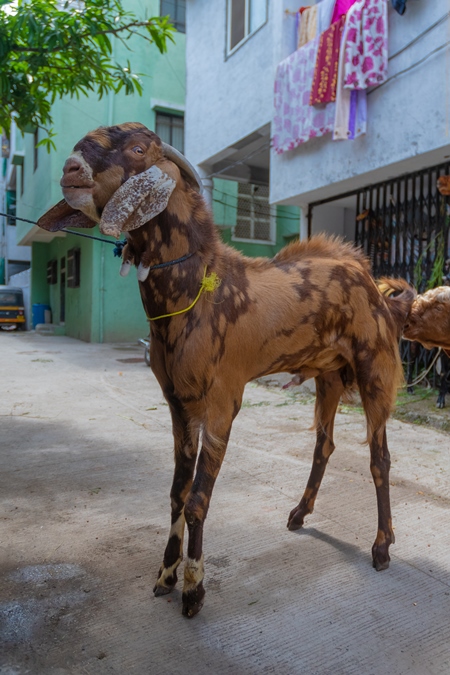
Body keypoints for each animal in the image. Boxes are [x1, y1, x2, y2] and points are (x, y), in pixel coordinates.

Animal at [37, 121, 414, 616]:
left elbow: (198, 500)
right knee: (324, 445)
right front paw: (165, 575)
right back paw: (299, 514)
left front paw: (193, 589)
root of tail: (372, 282)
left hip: (374, 367)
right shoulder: (178, 403)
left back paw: (382, 546)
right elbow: (177, 493)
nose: (70, 169)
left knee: (379, 457)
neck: (197, 288)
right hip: (329, 376)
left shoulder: (221, 402)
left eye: (138, 149)